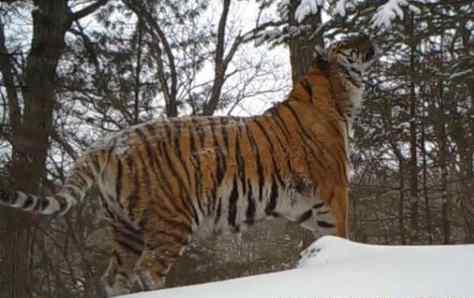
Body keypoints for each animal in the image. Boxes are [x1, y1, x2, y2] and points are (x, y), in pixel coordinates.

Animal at [0, 34, 378, 296]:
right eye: (348, 42)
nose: (367, 38)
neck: (337, 95)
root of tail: (107, 142)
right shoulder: (334, 191)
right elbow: (344, 233)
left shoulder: (304, 207)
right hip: (172, 219)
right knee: (148, 270)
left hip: (125, 227)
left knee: (115, 277)